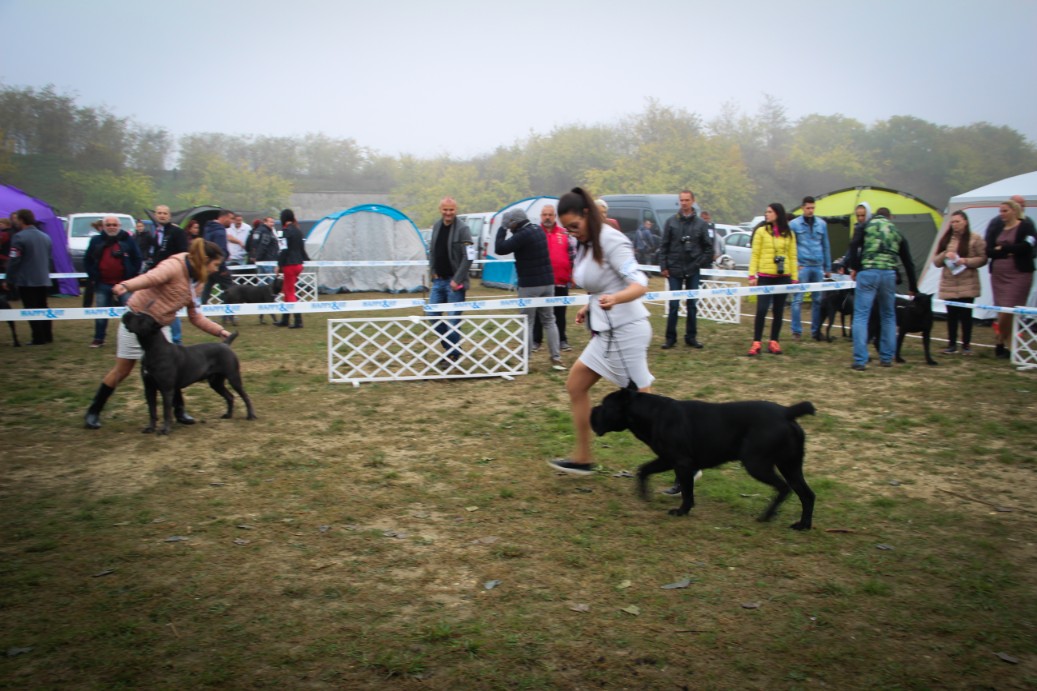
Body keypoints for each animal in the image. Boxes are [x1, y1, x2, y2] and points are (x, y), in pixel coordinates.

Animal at [121, 311, 257, 434]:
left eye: (142, 318)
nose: (127, 312)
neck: (152, 349)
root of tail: (225, 344)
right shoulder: (149, 388)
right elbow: (152, 410)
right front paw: (150, 428)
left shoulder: (167, 389)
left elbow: (166, 411)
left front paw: (165, 430)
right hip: (216, 382)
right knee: (230, 396)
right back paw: (228, 415)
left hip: (233, 378)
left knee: (245, 396)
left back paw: (251, 415)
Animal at [590, 386, 816, 530]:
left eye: (605, 405)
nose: (592, 410)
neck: (652, 414)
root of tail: (786, 412)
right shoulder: (667, 459)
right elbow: (643, 470)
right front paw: (644, 495)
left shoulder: (681, 462)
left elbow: (687, 491)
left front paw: (682, 511)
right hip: (790, 465)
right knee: (807, 494)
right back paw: (803, 525)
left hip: (757, 464)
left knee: (783, 488)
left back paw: (767, 516)